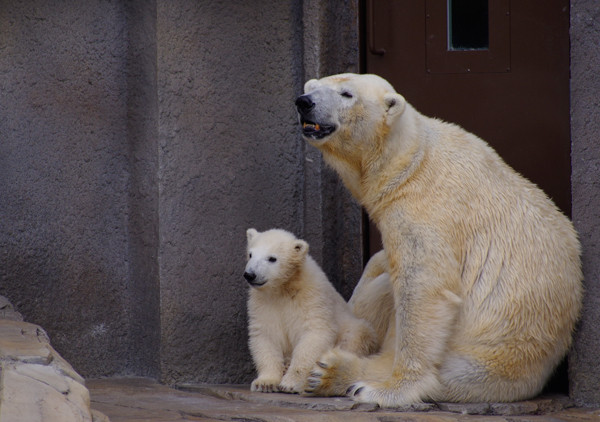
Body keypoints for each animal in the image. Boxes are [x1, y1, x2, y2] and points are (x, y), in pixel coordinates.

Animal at [296, 74, 580, 408]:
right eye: (313, 86)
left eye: (346, 94)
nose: (304, 102)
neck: (409, 161)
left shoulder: (427, 209)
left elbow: (423, 287)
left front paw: (390, 390)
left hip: (493, 363)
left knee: (449, 374)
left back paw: (337, 375)